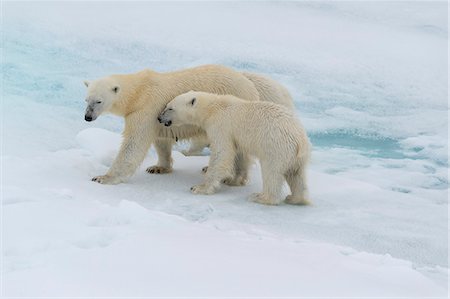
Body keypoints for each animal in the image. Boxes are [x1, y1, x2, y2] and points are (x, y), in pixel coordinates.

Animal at [84, 64, 296, 184]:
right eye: (86, 99)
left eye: (99, 101)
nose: (87, 117)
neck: (139, 92)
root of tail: (248, 83)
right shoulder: (157, 116)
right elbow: (161, 141)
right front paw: (159, 167)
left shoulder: (146, 108)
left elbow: (133, 144)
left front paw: (102, 177)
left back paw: (232, 177)